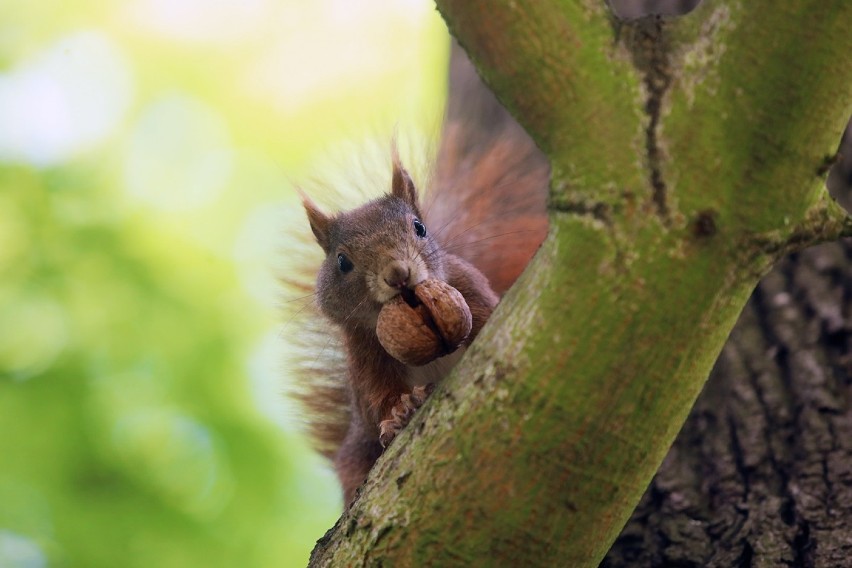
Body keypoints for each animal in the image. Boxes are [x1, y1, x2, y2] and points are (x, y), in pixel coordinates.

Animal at [290, 45, 548, 506]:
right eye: (342, 262)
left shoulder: (468, 288)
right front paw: (398, 413)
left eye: (419, 227)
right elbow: (378, 399)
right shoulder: (363, 352)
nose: (398, 273)